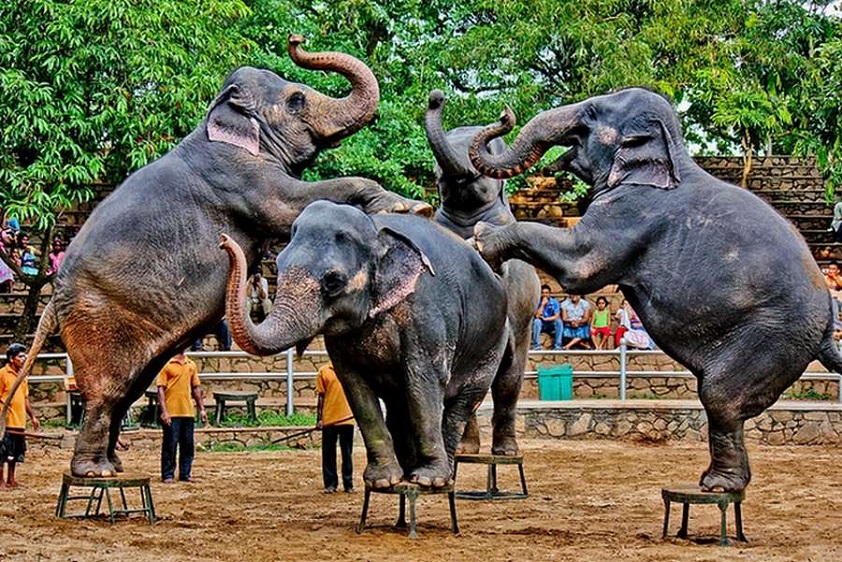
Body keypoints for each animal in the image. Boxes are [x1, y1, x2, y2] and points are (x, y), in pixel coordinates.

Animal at [0, 32, 430, 474]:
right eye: (296, 99)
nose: (295, 39)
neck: (217, 119)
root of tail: (53, 302)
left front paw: (411, 208)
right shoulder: (238, 176)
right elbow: (292, 204)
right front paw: (413, 208)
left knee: (129, 389)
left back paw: (114, 466)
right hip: (97, 321)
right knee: (106, 392)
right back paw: (95, 471)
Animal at [218, 200, 506, 486]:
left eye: (333, 281)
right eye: (278, 263)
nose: (223, 241)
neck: (376, 230)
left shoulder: (424, 313)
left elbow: (423, 380)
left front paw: (426, 480)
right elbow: (356, 388)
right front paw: (383, 482)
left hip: (492, 346)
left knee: (461, 403)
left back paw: (440, 478)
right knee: (400, 404)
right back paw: (409, 470)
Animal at [424, 89, 540, 452]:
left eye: (487, 154)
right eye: (435, 170)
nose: (436, 97)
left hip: (524, 323)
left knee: (509, 378)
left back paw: (505, 450)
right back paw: (466, 449)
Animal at [466, 86, 840, 490]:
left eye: (592, 113)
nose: (504, 114)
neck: (672, 156)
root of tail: (826, 329)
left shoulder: (631, 211)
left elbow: (580, 265)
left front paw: (481, 239)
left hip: (773, 338)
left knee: (719, 396)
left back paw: (717, 485)